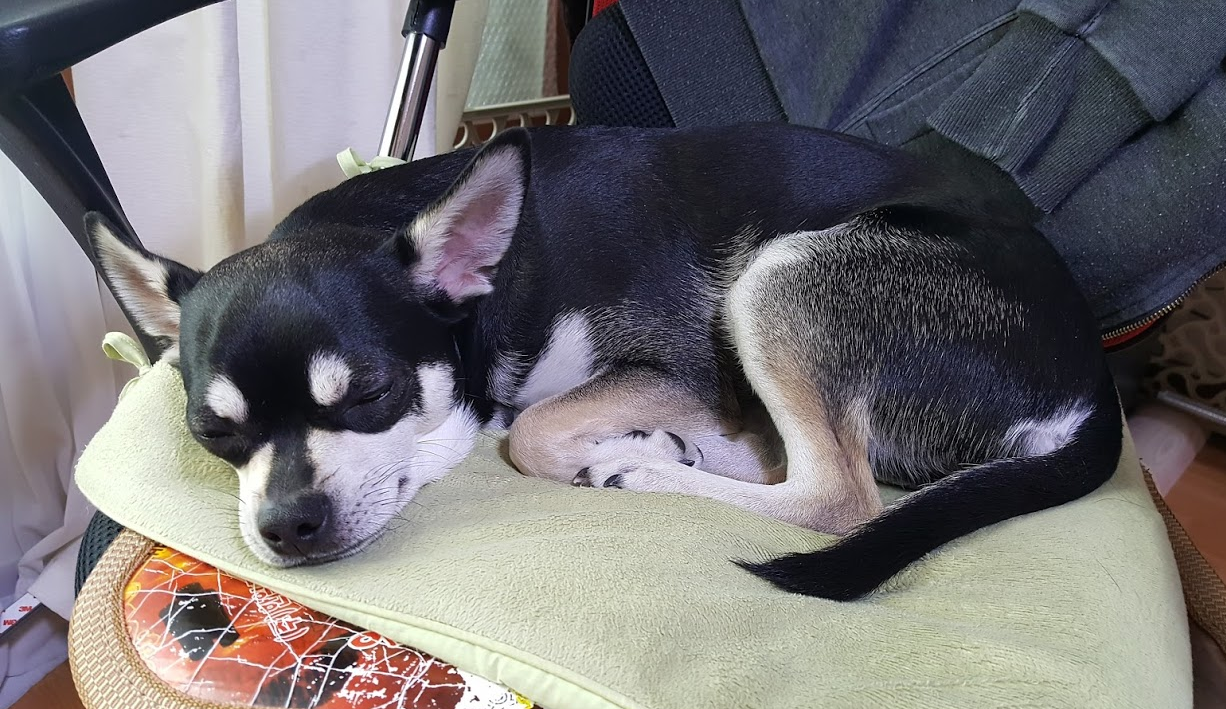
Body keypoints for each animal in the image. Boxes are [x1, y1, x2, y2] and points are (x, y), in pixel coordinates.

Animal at [89, 123, 1122, 601]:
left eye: (373, 393)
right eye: (213, 432)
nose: (286, 524)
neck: (497, 275)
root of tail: (1091, 378)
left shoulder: (673, 366)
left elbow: (533, 431)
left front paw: (612, 443)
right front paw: (670, 438)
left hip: (779, 277)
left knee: (838, 492)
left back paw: (641, 465)